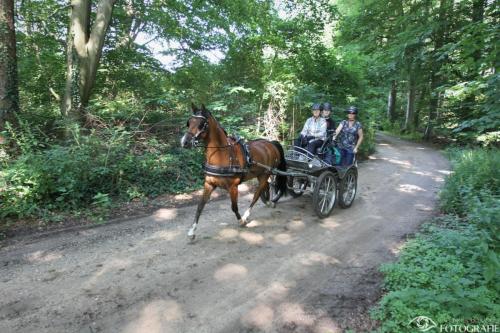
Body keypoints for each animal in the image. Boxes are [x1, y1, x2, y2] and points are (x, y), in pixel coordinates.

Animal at [182, 103, 288, 239]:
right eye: (189, 122)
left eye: (202, 124)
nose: (185, 142)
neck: (222, 155)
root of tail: (271, 143)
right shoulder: (209, 184)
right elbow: (200, 206)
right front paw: (192, 231)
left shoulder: (233, 186)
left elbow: (234, 207)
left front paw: (241, 221)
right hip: (260, 174)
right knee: (266, 187)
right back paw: (268, 201)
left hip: (266, 174)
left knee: (256, 194)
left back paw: (247, 215)